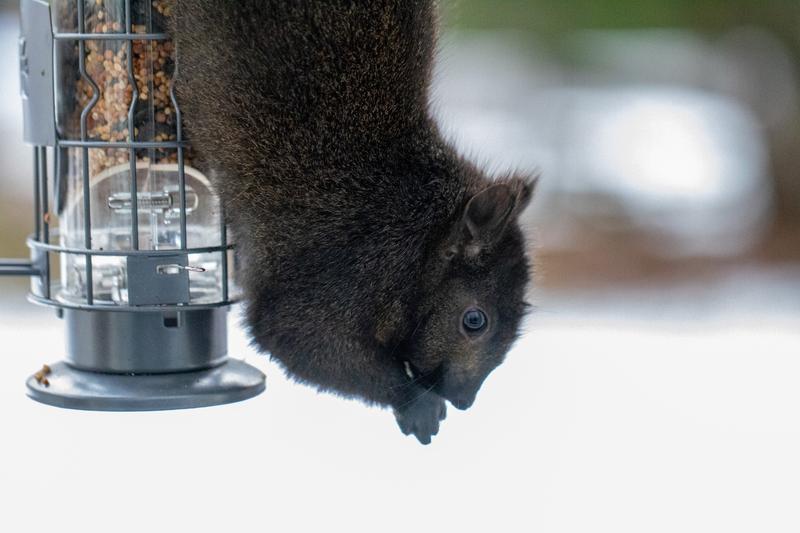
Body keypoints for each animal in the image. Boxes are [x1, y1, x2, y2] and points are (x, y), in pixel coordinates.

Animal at [171, 0, 535, 444]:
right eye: (474, 321)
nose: (464, 401)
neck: (418, 236)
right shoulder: (350, 270)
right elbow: (300, 337)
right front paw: (417, 404)